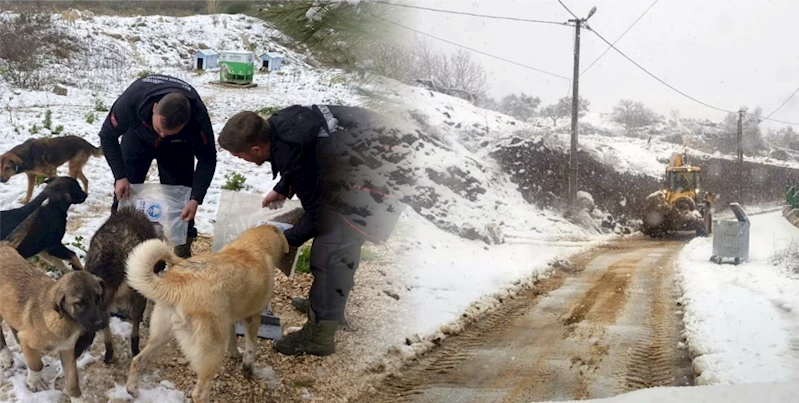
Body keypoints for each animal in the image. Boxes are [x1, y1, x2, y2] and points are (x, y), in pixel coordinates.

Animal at [0, 243, 108, 403]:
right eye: (79, 303)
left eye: (99, 298)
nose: (102, 323)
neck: (65, 321)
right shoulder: (30, 341)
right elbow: (37, 364)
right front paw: (35, 382)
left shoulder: (67, 350)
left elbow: (72, 382)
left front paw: (77, 398)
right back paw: (6, 356)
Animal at [123, 224, 290, 403]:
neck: (253, 246)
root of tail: (179, 285)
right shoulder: (252, 317)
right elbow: (252, 347)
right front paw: (247, 368)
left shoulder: (229, 319)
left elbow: (233, 339)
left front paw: (235, 354)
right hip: (211, 352)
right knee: (199, 394)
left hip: (162, 335)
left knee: (137, 359)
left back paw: (132, 388)